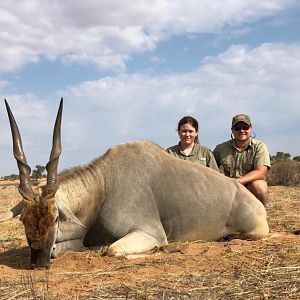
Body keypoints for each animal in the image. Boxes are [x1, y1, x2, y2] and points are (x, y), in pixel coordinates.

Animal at [0, 99, 268, 270]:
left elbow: (112, 250)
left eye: (56, 218)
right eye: (24, 220)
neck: (102, 186)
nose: (38, 263)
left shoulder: (149, 232)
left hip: (253, 232)